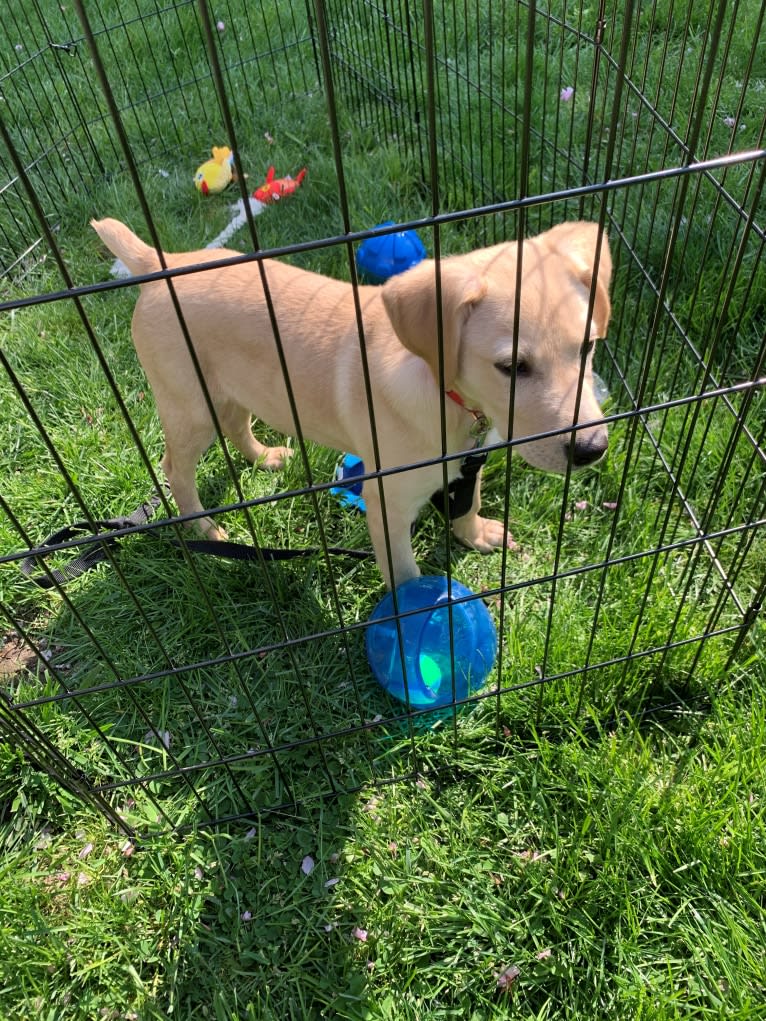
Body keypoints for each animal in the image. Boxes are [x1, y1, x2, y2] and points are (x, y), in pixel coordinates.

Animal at [92, 221, 612, 592]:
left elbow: (469, 498)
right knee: (176, 469)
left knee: (238, 424)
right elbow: (403, 573)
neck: (446, 394)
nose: (593, 449)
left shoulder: (470, 459)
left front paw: (475, 533)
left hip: (238, 389)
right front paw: (415, 621)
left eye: (588, 347)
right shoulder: (389, 504)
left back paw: (266, 458)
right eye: (512, 366)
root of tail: (161, 261)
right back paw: (206, 529)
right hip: (190, 405)